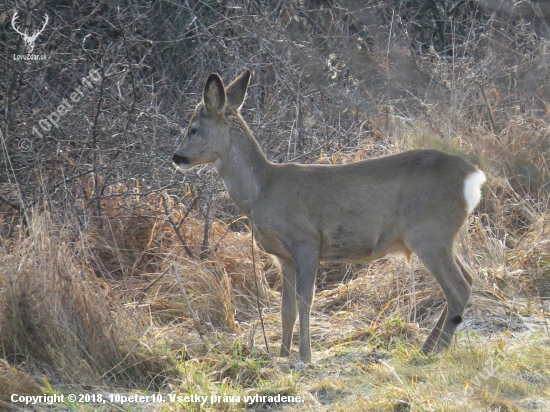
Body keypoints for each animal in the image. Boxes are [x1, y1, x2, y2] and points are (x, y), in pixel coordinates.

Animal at [172, 69, 488, 362]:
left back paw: (433, 351)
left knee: (458, 287)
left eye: (193, 128)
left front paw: (305, 355)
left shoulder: (306, 240)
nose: (177, 157)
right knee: (468, 279)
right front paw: (283, 354)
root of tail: (474, 177)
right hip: (443, 236)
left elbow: (305, 301)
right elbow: (286, 309)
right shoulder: (282, 256)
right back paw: (430, 347)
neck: (263, 189)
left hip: (428, 232)